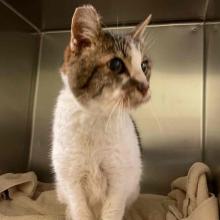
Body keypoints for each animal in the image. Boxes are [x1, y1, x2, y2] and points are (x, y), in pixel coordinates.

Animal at [51, 4, 151, 220]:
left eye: (144, 66)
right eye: (116, 64)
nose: (145, 86)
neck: (95, 117)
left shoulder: (120, 179)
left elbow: (113, 210)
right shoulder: (71, 179)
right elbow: (79, 210)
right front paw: (74, 213)